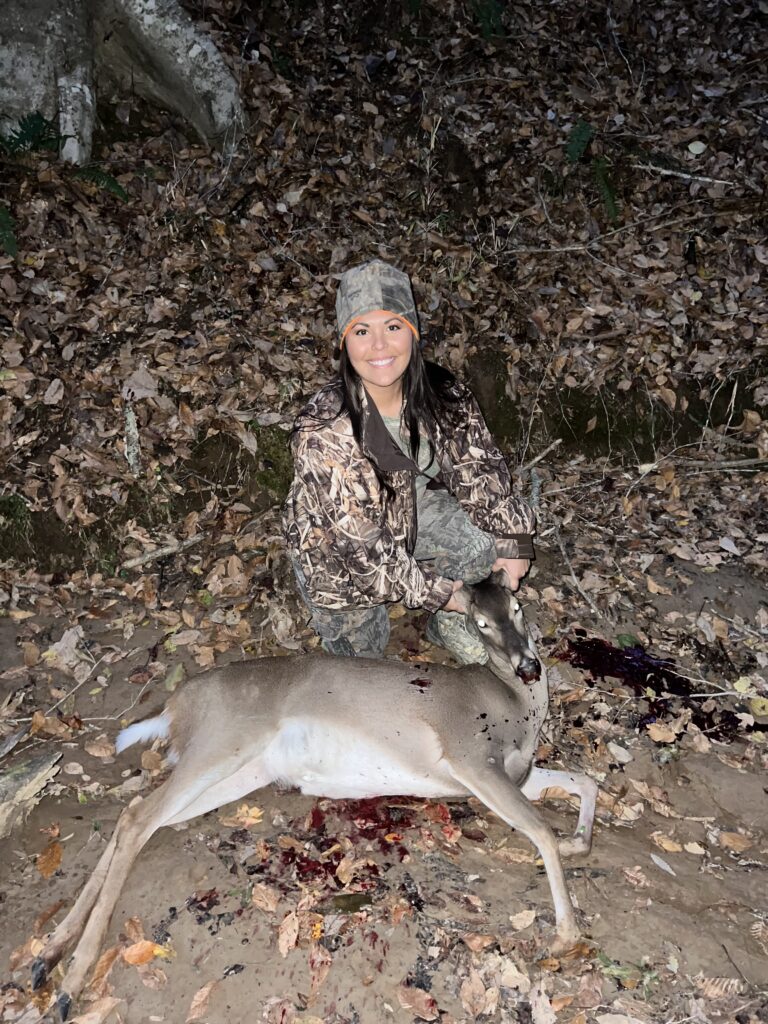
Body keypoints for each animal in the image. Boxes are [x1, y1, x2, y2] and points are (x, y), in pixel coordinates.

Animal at [31, 573, 598, 1020]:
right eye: (480, 623)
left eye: (518, 608)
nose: (529, 666)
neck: (515, 707)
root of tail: (174, 704)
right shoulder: (470, 756)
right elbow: (541, 827)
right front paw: (567, 934)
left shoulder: (518, 773)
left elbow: (585, 781)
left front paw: (579, 843)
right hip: (222, 742)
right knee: (136, 817)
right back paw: (69, 981)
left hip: (240, 771)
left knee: (136, 815)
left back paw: (48, 955)